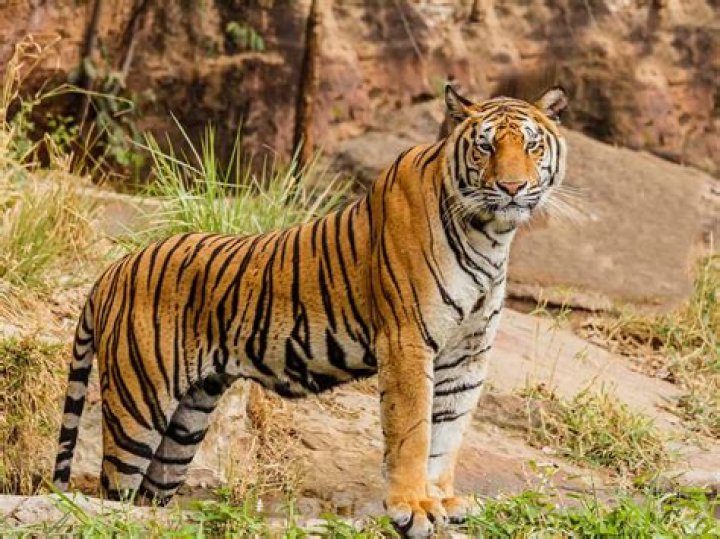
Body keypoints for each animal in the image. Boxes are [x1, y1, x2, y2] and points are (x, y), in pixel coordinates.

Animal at [53, 85, 568, 537]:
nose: (512, 186)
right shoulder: (407, 341)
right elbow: (414, 431)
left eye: (531, 144)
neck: (491, 235)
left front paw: (440, 500)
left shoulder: (467, 354)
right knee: (113, 490)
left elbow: (448, 433)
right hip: (138, 405)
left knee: (148, 496)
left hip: (187, 421)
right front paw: (413, 508)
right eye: (484, 147)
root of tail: (113, 269)